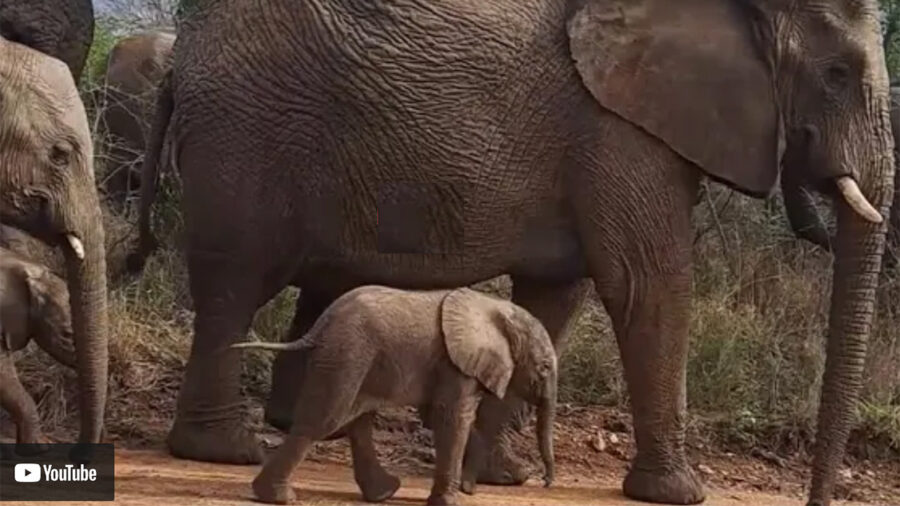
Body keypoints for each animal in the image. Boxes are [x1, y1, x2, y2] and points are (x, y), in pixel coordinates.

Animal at [232, 286, 557, 506]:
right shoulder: (455, 364)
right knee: (325, 420)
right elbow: (453, 418)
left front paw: (466, 488)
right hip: (348, 353)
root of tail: (321, 324)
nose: (545, 482)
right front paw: (451, 501)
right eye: (543, 367)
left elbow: (442, 417)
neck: (497, 310)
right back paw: (279, 497)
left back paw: (384, 493)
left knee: (357, 420)